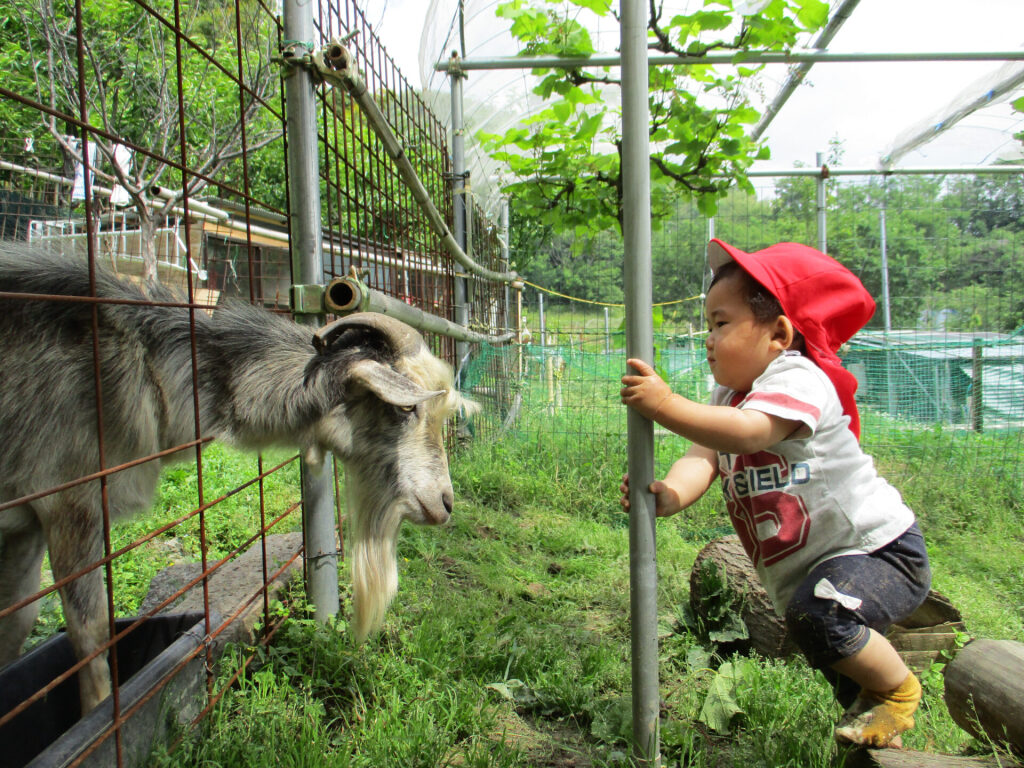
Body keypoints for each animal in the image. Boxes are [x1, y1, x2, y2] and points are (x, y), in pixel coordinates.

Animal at [0, 240, 468, 716]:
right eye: (407, 407)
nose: (445, 502)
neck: (148, 367)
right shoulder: (69, 500)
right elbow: (91, 631)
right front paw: (98, 715)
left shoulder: (25, 526)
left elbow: (16, 621)